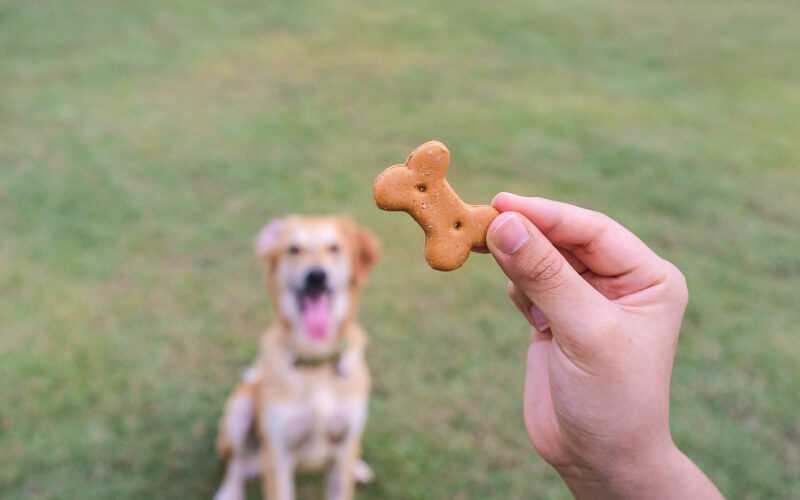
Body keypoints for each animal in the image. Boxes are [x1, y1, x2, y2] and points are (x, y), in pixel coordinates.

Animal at [216, 215, 382, 500]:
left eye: (334, 248)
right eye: (293, 249)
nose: (316, 276)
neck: (315, 361)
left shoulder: (344, 443)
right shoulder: (278, 454)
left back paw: (359, 468)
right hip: (239, 410)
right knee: (236, 462)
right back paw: (229, 491)